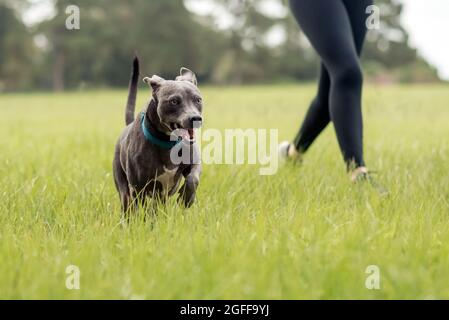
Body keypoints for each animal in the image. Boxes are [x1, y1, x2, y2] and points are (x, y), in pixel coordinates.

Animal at [113, 57, 202, 212]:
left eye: (198, 99)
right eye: (174, 101)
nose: (195, 119)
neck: (168, 141)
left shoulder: (194, 160)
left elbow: (193, 178)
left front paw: (186, 198)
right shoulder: (138, 187)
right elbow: (141, 205)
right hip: (124, 187)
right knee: (129, 204)